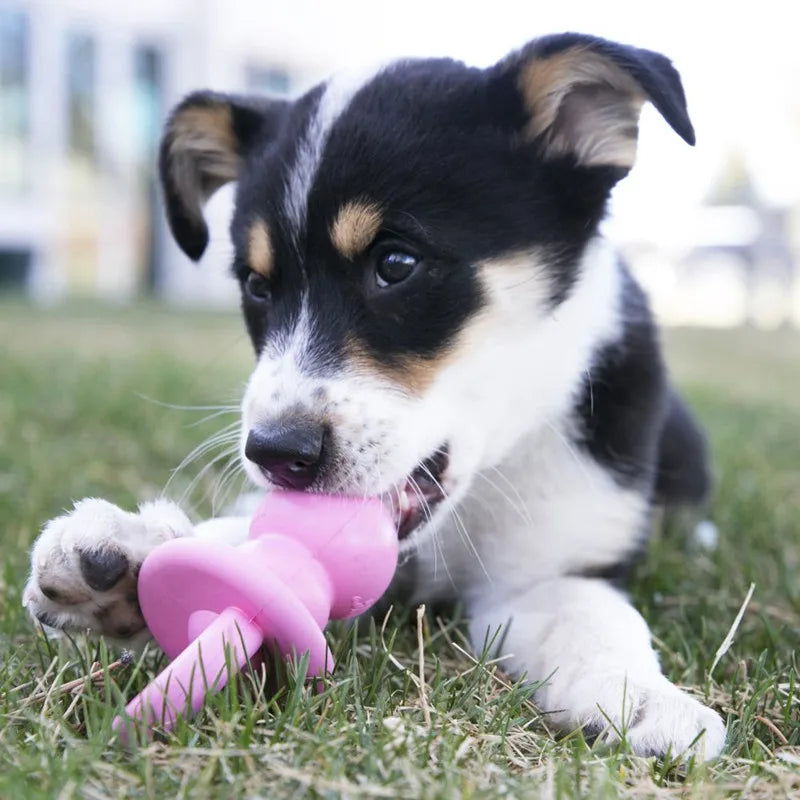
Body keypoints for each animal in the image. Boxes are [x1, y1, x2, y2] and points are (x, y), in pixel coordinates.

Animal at [23, 34, 724, 760]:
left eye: (396, 264)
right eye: (257, 285)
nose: (274, 453)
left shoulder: (556, 563)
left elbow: (589, 616)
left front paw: (642, 699)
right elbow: (257, 538)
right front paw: (128, 559)